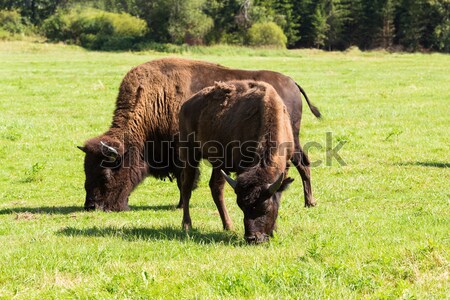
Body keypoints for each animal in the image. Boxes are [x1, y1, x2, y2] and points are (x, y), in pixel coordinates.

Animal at [77, 56, 318, 211]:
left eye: (105, 174)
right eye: (86, 171)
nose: (91, 206)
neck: (154, 99)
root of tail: (292, 82)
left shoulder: (180, 153)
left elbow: (184, 179)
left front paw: (180, 204)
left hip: (290, 139)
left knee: (303, 163)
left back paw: (309, 202)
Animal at [179, 80, 296, 244]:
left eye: (265, 207)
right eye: (241, 206)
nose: (252, 238)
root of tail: (186, 105)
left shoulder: (285, 167)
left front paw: (274, 230)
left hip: (219, 163)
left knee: (216, 188)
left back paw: (228, 225)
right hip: (190, 154)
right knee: (187, 187)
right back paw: (187, 225)